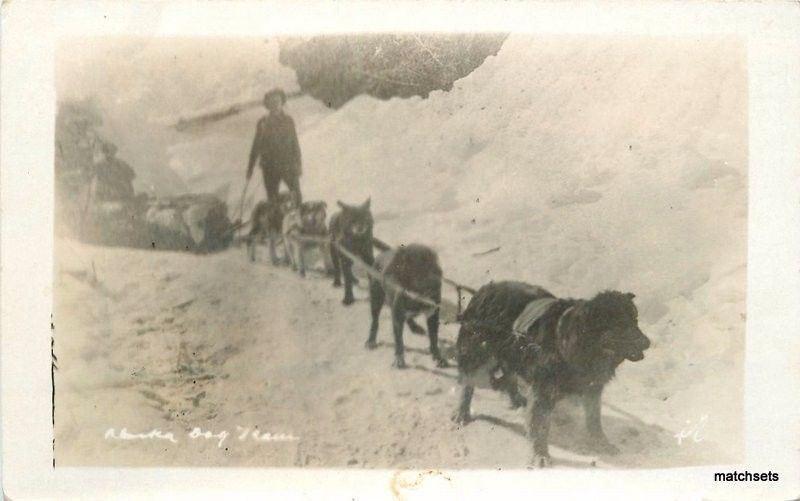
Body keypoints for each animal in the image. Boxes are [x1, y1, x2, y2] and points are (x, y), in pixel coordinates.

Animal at [454, 280, 648, 466]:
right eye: (620, 323)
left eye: (635, 320)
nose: (648, 343)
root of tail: (486, 289)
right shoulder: (543, 391)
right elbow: (540, 426)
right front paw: (540, 455)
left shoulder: (592, 389)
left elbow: (594, 421)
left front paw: (601, 443)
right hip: (477, 353)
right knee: (467, 383)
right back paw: (462, 413)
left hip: (512, 352)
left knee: (510, 374)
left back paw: (516, 399)